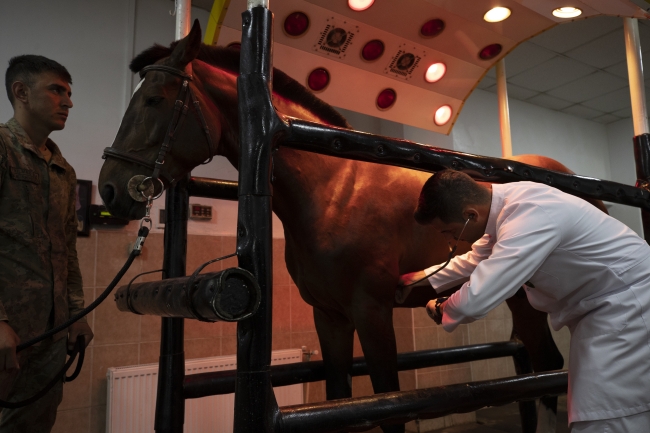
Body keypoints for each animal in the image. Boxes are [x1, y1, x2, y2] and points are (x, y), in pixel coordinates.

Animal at [97, 22, 604, 430]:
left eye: (155, 100)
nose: (110, 189)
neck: (333, 191)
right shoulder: (331, 317)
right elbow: (339, 399)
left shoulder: (372, 312)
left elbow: (391, 407)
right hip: (521, 298)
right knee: (541, 369)